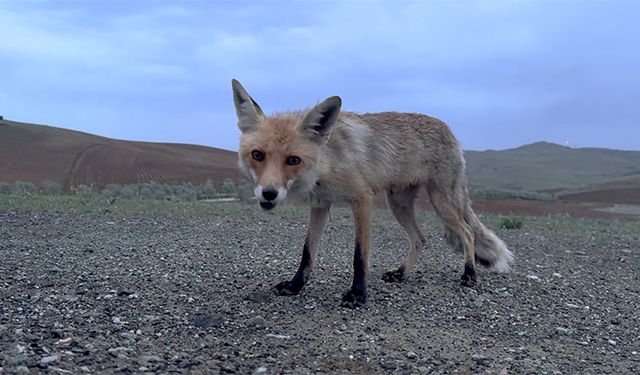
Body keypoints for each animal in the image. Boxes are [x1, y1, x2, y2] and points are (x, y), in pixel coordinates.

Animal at [232, 79, 512, 308]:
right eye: (257, 155)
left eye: (293, 160)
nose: (268, 193)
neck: (327, 164)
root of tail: (449, 130)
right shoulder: (320, 204)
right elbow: (307, 252)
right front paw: (295, 286)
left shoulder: (362, 199)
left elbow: (359, 256)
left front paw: (358, 294)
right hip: (398, 204)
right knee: (420, 239)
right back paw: (400, 273)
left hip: (440, 202)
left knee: (467, 233)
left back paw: (469, 274)